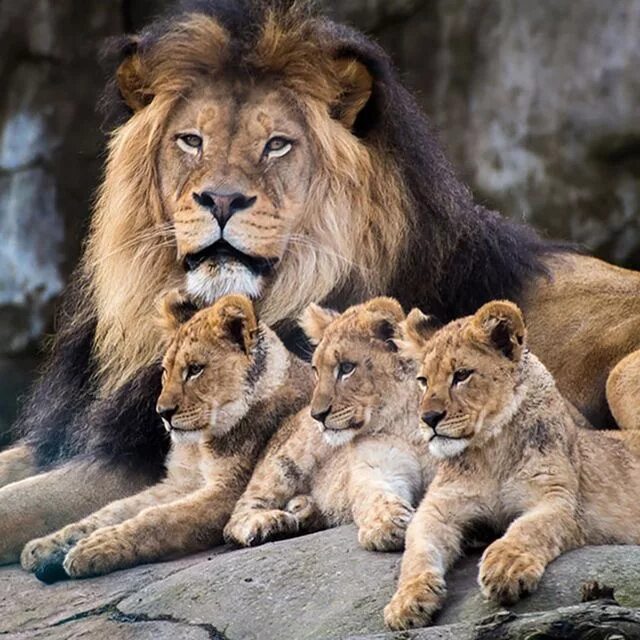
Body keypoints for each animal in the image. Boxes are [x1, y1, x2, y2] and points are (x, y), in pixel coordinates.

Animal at [382, 302, 640, 632]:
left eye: (461, 375)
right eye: (423, 381)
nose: (428, 418)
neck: (490, 450)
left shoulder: (557, 499)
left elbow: (527, 529)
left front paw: (505, 567)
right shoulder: (436, 509)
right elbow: (416, 551)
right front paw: (406, 601)